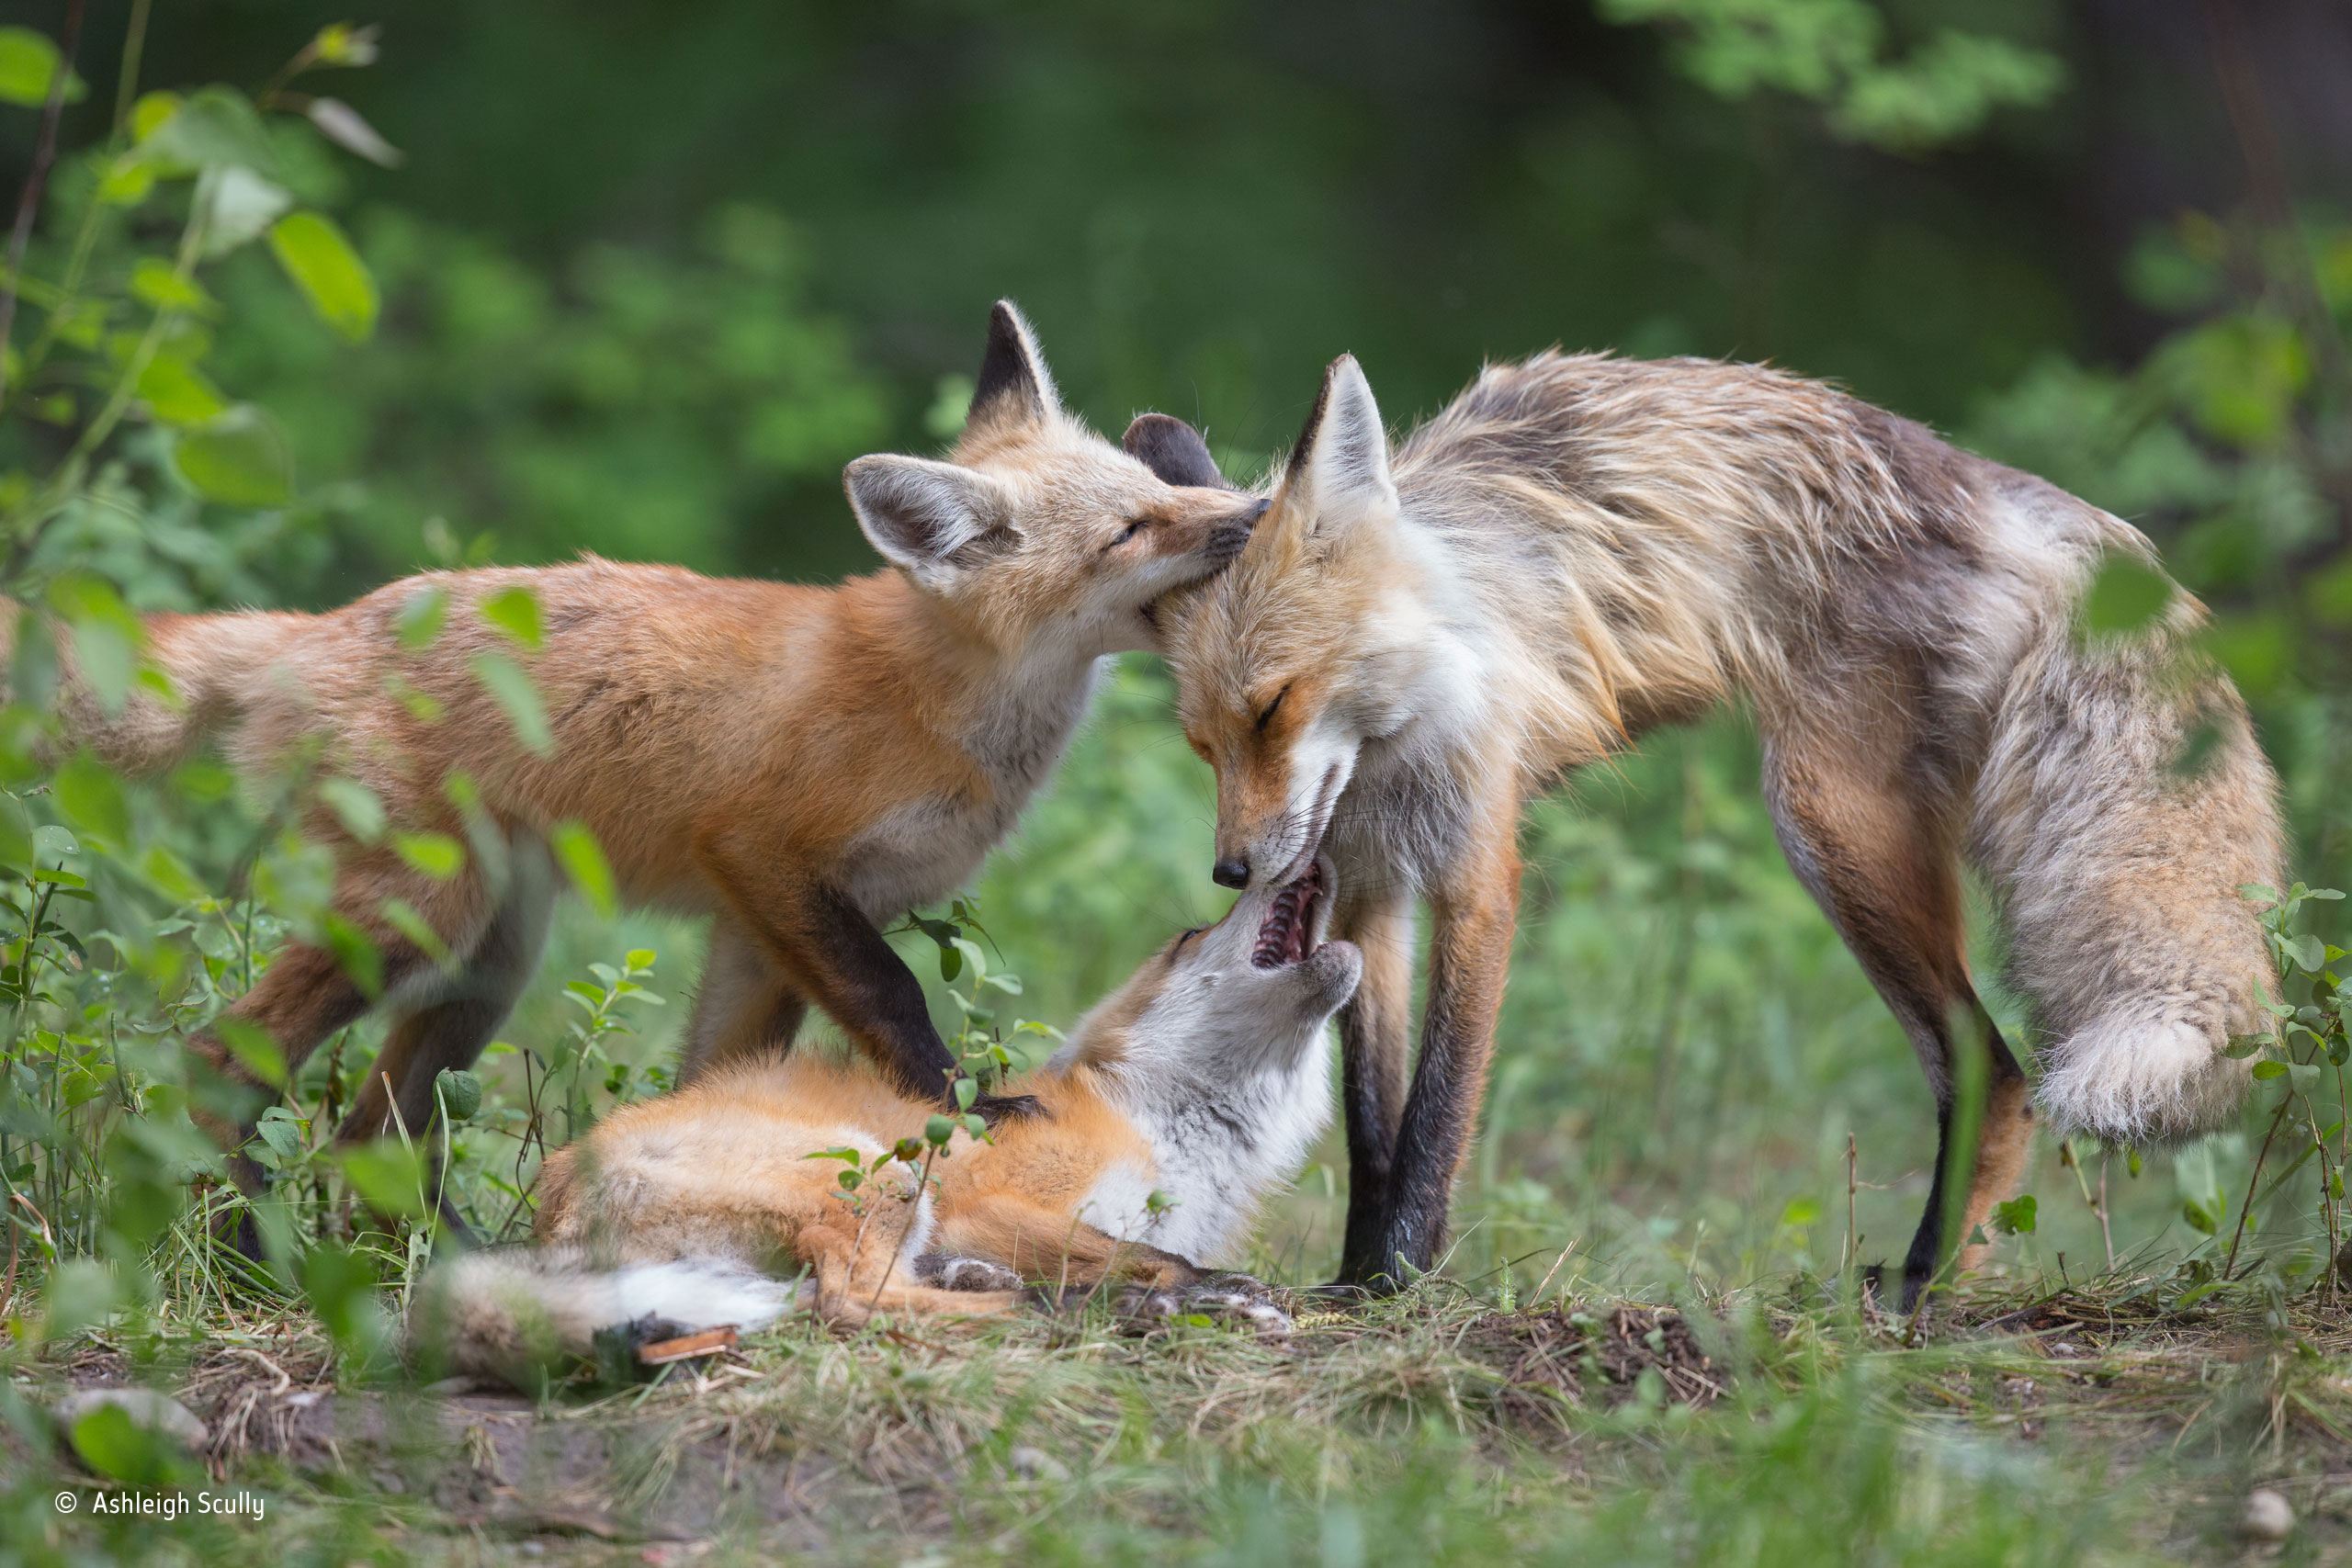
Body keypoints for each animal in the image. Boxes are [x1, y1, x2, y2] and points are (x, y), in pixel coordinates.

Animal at [22, 303, 1270, 1213]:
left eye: (1160, 488)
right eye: (1130, 531)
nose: (1255, 510)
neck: (936, 699)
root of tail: (315, 627)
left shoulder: (761, 933)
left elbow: (717, 1084)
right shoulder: (766, 859)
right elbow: (898, 997)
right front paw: (970, 1112)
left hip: (486, 967)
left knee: (366, 1139)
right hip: (412, 919)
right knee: (221, 1066)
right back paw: (251, 1245)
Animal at [413, 860, 1354, 1382]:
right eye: (1194, 933)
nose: (1314, 858)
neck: (1180, 1133)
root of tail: (559, 1199)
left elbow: (1165, 1253)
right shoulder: (998, 1202)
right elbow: (1162, 1257)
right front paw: (1228, 1297)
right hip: (887, 1177)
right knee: (852, 1304)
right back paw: (1090, 1312)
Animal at [1148, 350, 2286, 1306]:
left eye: (1274, 708)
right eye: (1202, 742)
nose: (1232, 869)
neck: (1392, 739)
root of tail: (1975, 474)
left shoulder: (1477, 876)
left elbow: (1434, 1114)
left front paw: (1400, 1287)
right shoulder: (1369, 890)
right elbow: (1373, 1128)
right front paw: (1353, 1281)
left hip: (1825, 823)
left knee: (1988, 1066)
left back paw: (1921, 1287)